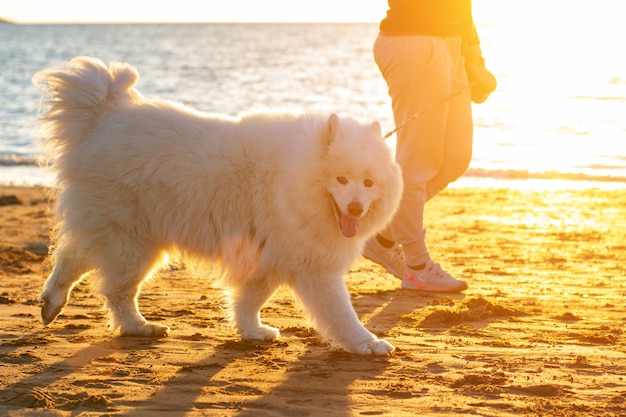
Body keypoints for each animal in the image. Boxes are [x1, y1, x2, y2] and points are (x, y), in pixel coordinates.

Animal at [34, 55, 402, 354]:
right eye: (341, 179)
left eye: (368, 183)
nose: (355, 209)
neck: (294, 177)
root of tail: (101, 118)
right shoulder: (313, 266)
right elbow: (341, 312)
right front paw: (367, 343)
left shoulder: (267, 255)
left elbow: (250, 300)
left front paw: (252, 331)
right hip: (133, 242)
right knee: (116, 289)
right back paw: (138, 326)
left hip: (124, 235)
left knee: (73, 257)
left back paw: (52, 302)